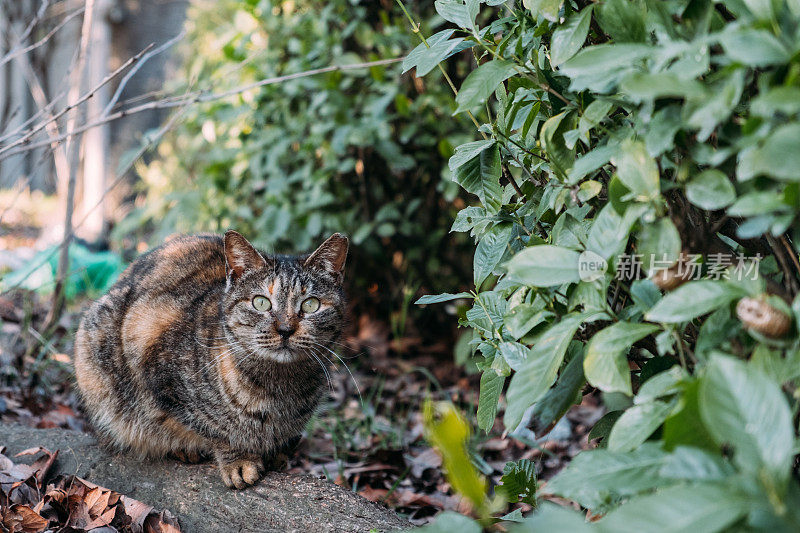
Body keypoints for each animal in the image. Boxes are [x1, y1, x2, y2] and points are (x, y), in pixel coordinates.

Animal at [74, 231, 346, 488]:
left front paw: (277, 454)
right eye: (260, 302)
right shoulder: (155, 363)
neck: (279, 387)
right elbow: (215, 428)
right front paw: (238, 459)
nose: (285, 329)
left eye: (310, 305)